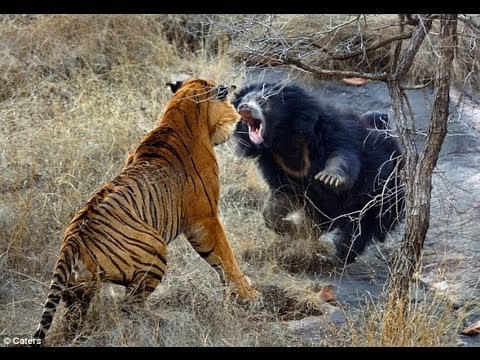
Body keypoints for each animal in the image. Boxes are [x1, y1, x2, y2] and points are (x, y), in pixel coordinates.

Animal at [32, 78, 258, 346]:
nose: (238, 116)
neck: (179, 113)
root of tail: (71, 241)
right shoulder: (205, 218)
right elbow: (225, 257)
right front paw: (248, 294)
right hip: (155, 249)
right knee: (130, 304)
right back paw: (167, 319)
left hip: (79, 289)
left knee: (75, 316)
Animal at [232, 83, 404, 266]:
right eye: (243, 101)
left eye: (263, 100)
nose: (244, 107)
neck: (283, 139)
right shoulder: (276, 164)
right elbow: (280, 199)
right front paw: (292, 228)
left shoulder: (329, 130)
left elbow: (342, 154)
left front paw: (330, 178)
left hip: (381, 196)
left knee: (358, 230)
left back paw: (334, 257)